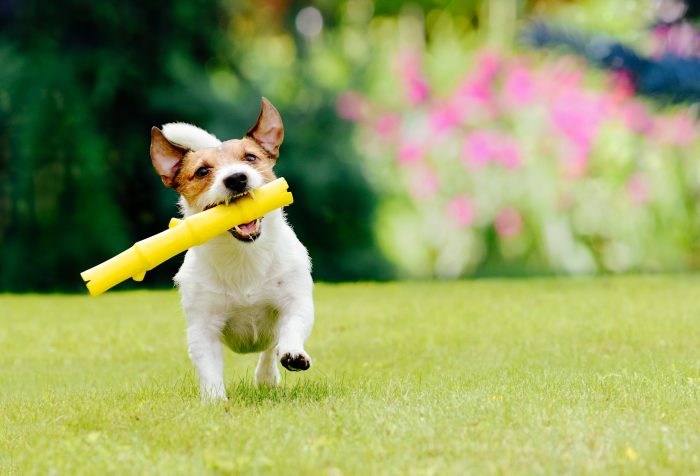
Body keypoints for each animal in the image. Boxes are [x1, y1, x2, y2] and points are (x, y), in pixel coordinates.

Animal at [150, 98, 314, 400]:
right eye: (202, 171)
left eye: (250, 158)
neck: (243, 256)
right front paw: (215, 401)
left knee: (269, 349)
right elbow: (209, 368)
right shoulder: (203, 327)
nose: (236, 178)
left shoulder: (295, 300)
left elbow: (291, 326)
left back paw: (267, 377)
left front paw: (293, 353)